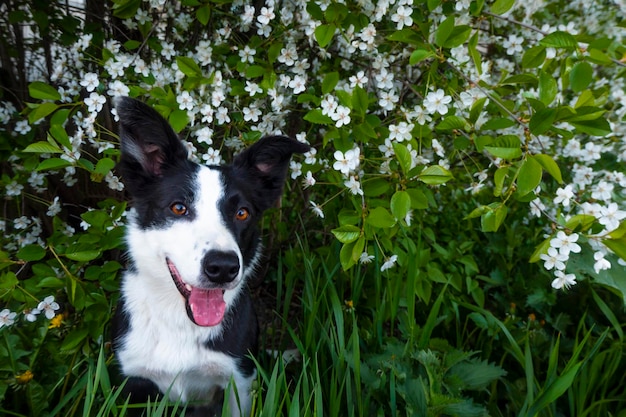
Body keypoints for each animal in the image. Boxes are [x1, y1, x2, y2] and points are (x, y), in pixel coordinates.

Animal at [110, 96, 310, 414]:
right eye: (179, 207)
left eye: (242, 213)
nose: (223, 267)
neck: (180, 321)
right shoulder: (135, 381)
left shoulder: (238, 383)